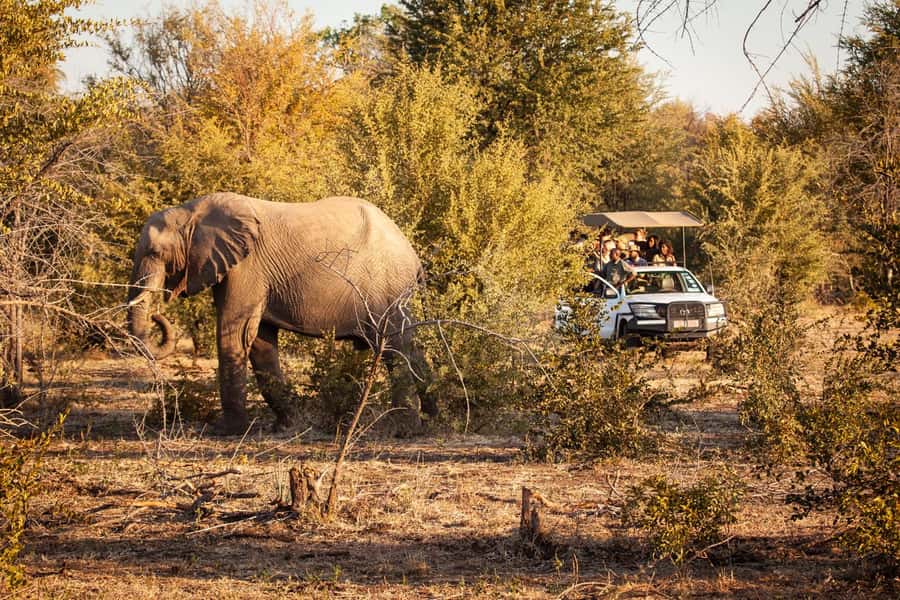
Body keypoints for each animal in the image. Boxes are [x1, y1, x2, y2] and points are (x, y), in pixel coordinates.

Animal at [126, 192, 434, 434]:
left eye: (154, 252)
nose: (157, 316)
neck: (192, 211)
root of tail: (413, 254)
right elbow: (260, 342)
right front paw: (287, 426)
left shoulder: (247, 266)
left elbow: (234, 333)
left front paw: (226, 431)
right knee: (411, 346)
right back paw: (434, 416)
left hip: (389, 285)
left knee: (394, 347)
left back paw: (404, 429)